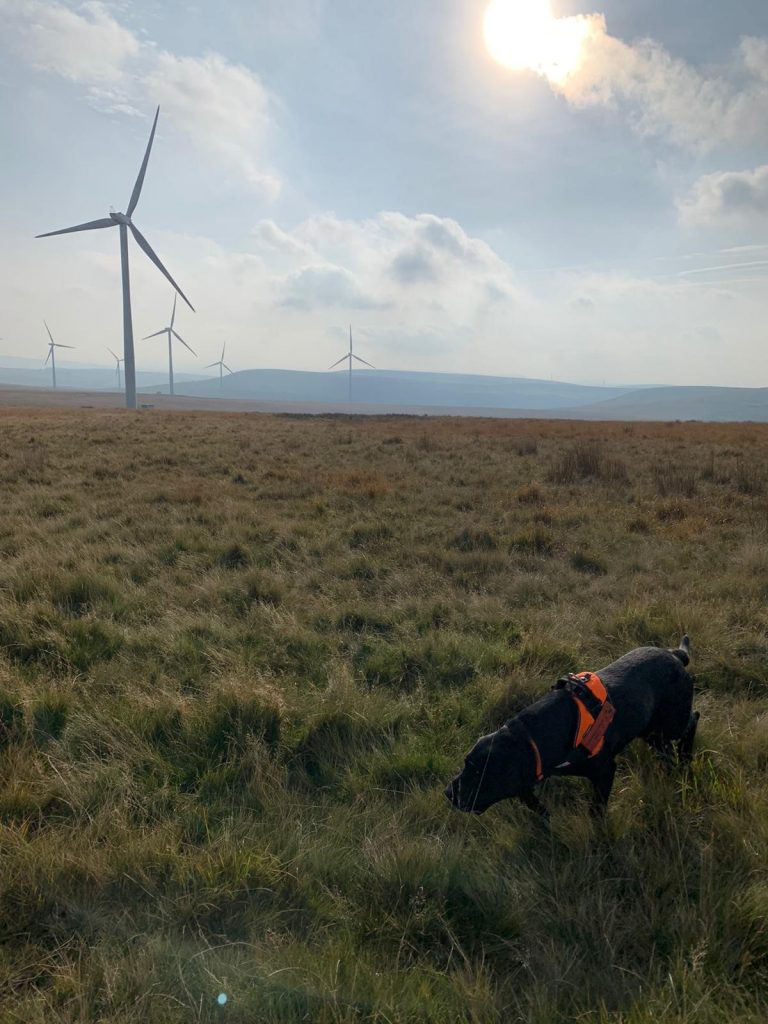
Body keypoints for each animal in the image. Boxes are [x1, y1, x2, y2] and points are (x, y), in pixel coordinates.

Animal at [442, 638, 700, 815]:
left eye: (479, 773)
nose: (448, 794)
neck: (535, 737)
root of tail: (675, 654)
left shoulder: (605, 770)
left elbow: (596, 811)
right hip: (650, 731)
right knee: (666, 747)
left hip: (670, 723)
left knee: (693, 720)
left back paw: (685, 756)